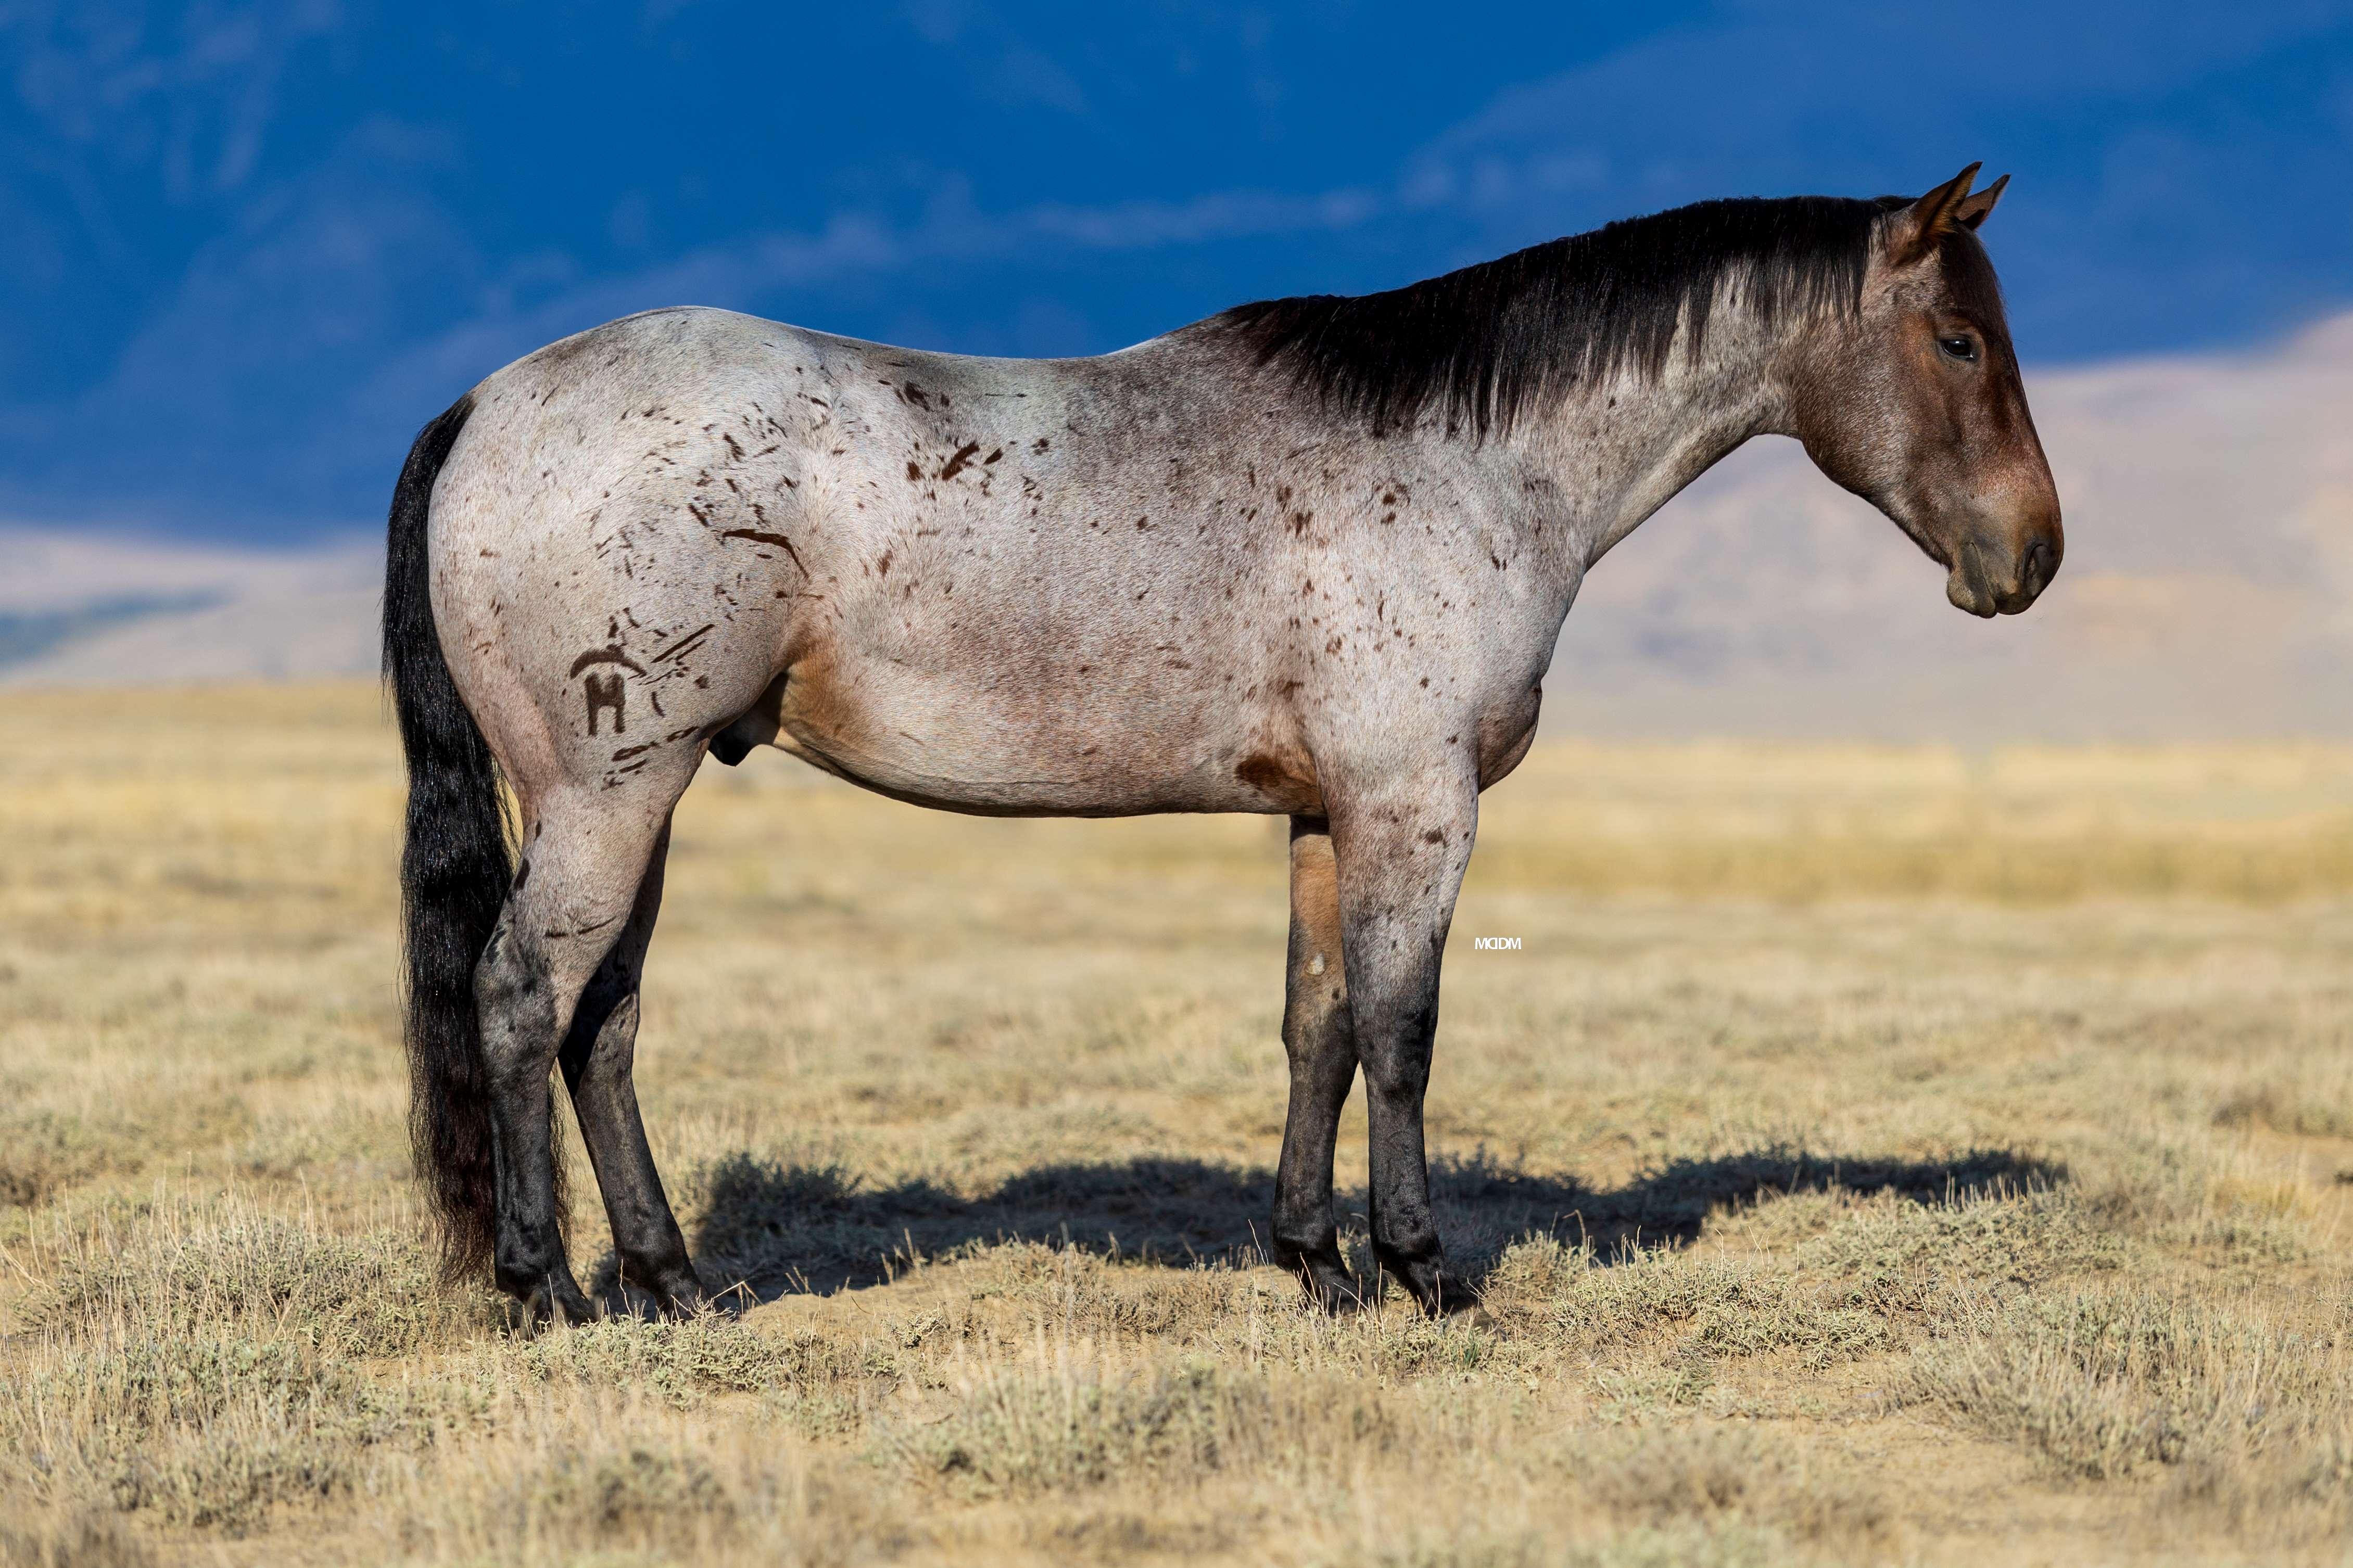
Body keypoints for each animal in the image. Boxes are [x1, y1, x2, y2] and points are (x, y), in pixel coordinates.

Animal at [383, 164, 2060, 1324]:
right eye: (1958, 340)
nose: (2031, 558)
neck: (1470, 458)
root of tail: (483, 404)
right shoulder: (1416, 807)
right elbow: (1403, 1027)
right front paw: (1420, 1266)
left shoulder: (1326, 816)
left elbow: (1318, 1026)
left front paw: (1314, 1260)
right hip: (609, 796)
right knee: (523, 997)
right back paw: (546, 1286)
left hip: (630, 801)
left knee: (602, 1024)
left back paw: (669, 1279)